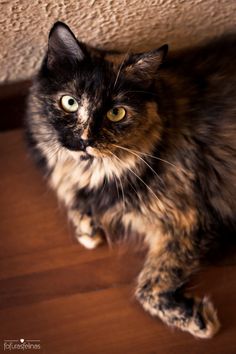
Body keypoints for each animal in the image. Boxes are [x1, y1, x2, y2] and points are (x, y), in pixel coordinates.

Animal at [24, 21, 236, 338]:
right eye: (70, 102)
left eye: (116, 113)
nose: (86, 140)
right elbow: (75, 203)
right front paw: (88, 229)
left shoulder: (187, 218)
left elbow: (148, 286)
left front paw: (199, 320)